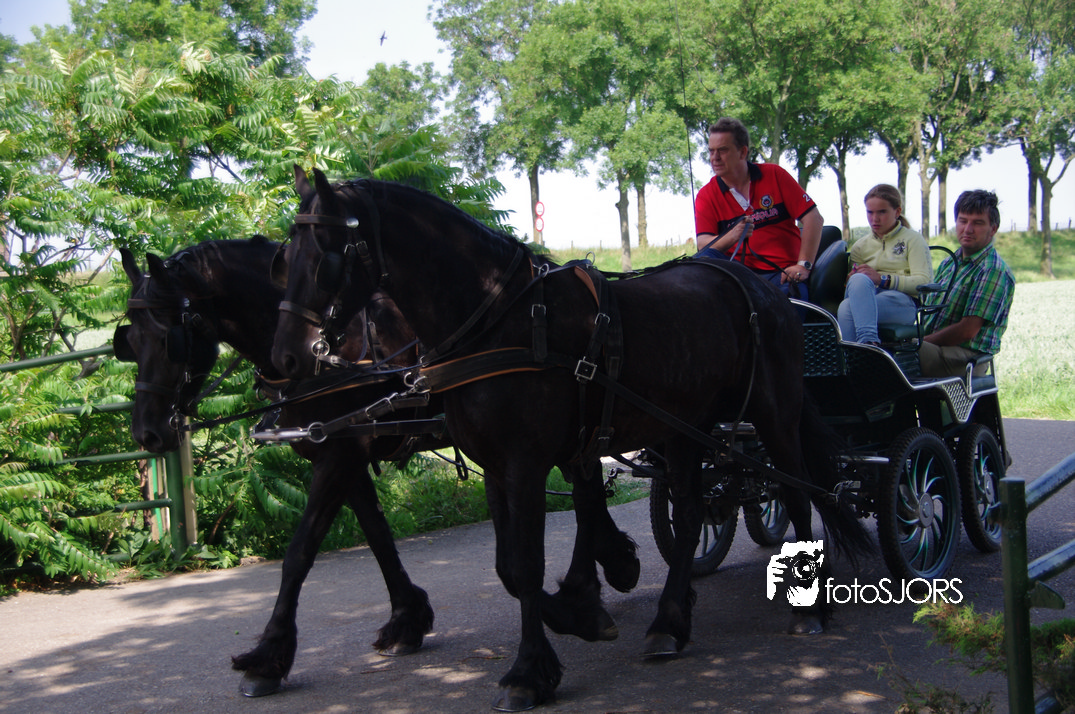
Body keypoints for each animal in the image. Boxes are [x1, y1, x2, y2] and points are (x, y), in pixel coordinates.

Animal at [115, 238, 640, 699]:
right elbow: (378, 537)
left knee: (586, 485)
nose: (147, 434)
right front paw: (408, 617)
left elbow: (299, 553)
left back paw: (595, 582)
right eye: (129, 341)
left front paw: (267, 657)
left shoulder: (339, 455)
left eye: (169, 338)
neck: (325, 353)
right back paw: (608, 564)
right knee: (587, 482)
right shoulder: (341, 452)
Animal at [270, 167, 874, 711]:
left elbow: (528, 565)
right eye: (283, 259)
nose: (288, 360)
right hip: (683, 429)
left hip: (775, 414)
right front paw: (580, 616)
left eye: (324, 256)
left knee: (797, 493)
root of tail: (759, 288)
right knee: (690, 514)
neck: (502, 321)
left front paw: (530, 671)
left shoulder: (526, 463)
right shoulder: (496, 466)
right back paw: (670, 622)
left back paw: (808, 610)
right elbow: (509, 567)